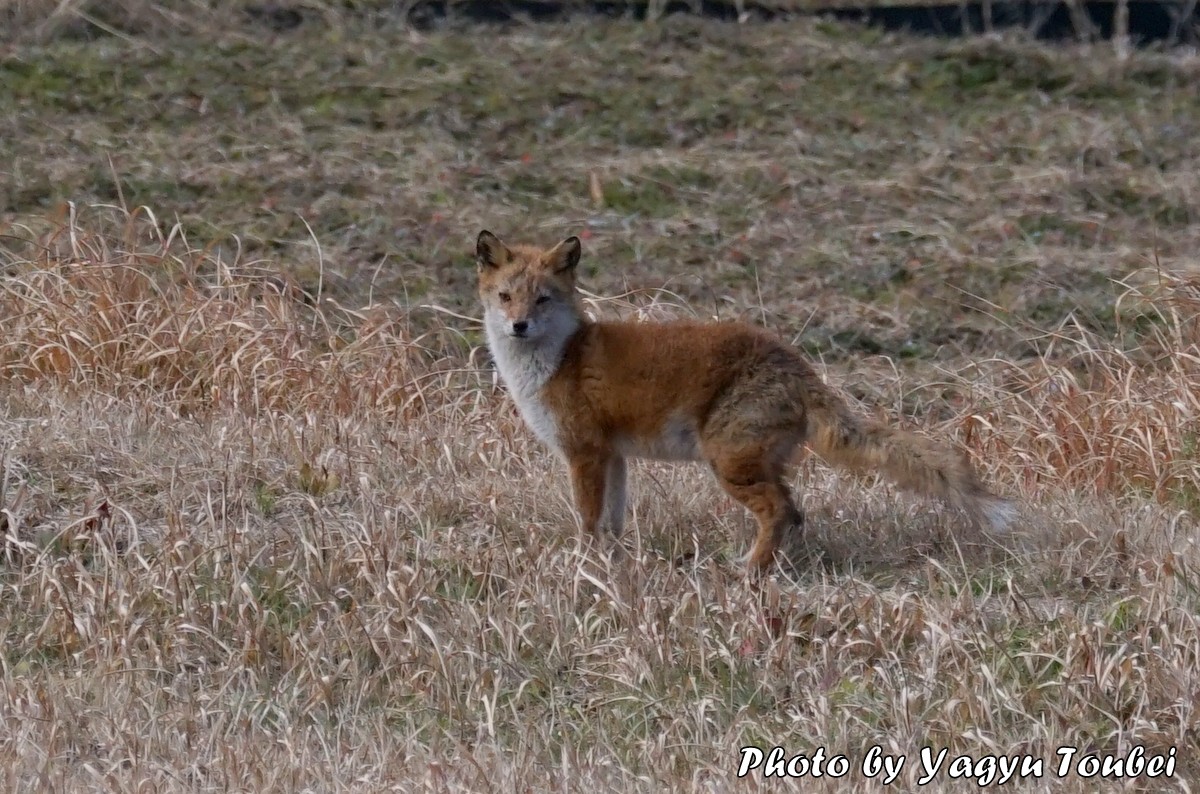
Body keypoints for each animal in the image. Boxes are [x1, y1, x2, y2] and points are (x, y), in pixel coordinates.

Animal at [477, 230, 1012, 573]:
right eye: (505, 297)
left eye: (543, 299)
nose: (518, 325)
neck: (560, 358)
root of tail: (797, 365)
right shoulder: (613, 456)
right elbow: (613, 522)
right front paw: (613, 565)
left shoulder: (584, 454)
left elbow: (589, 523)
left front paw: (585, 569)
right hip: (757, 463)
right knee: (794, 512)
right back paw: (778, 568)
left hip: (729, 464)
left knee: (778, 512)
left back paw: (750, 572)